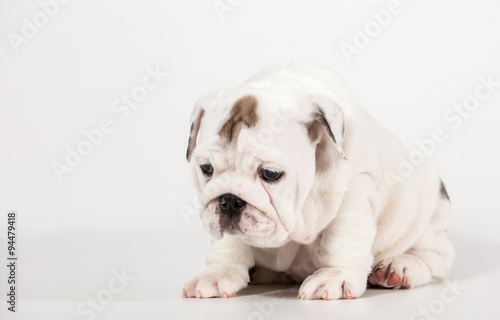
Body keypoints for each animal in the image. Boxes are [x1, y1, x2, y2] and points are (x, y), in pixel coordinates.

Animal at [183, 60, 454, 300]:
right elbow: (230, 243)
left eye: (271, 174)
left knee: (435, 256)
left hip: (431, 216)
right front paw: (218, 272)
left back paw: (398, 267)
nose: (229, 200)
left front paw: (335, 276)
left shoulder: (354, 189)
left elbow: (343, 236)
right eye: (206, 169)